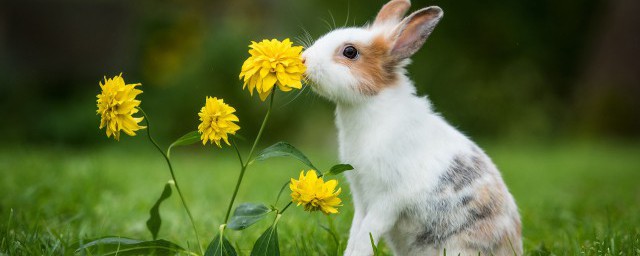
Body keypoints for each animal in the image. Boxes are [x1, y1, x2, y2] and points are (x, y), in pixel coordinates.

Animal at [302, 0, 524, 256]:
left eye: (350, 52)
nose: (304, 59)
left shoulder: (386, 200)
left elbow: (364, 238)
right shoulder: (361, 198)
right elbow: (355, 234)